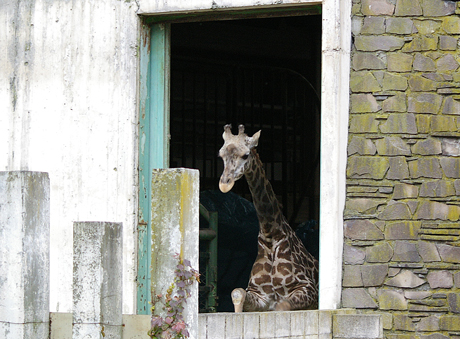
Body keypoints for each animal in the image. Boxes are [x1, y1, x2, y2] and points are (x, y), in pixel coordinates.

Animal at [217, 124, 318, 314]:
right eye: (221, 155)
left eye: (245, 155)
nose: (224, 184)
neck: (270, 236)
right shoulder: (258, 294)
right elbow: (237, 294)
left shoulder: (308, 289)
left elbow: (282, 305)